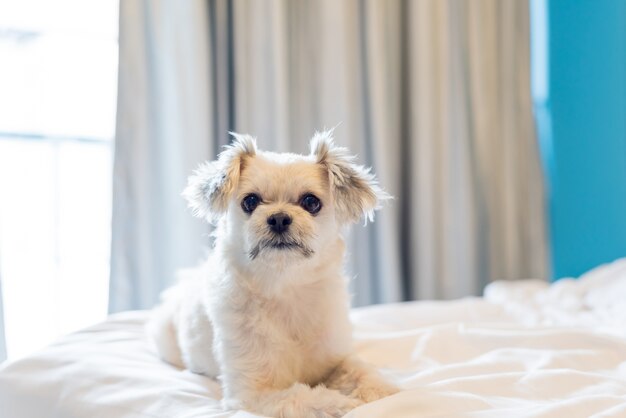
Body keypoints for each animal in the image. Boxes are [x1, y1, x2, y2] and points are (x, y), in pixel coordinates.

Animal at [147, 131, 394, 418]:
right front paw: (341, 403)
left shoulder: (335, 356)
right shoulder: (253, 395)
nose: (278, 218)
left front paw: (381, 391)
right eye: (250, 201)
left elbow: (360, 369)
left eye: (311, 202)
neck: (286, 288)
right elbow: (305, 398)